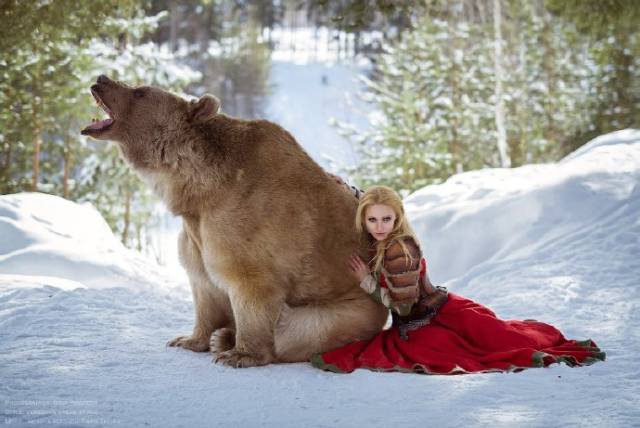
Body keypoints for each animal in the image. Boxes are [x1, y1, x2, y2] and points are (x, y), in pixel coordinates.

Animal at [82, 75, 388, 366]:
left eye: (140, 92)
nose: (101, 78)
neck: (199, 190)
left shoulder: (245, 222)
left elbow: (250, 284)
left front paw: (239, 354)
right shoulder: (196, 233)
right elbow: (203, 286)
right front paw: (189, 339)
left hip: (349, 311)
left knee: (298, 329)